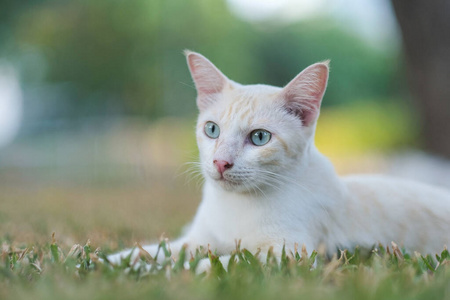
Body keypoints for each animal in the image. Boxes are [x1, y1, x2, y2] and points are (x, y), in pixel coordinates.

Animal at [106, 51, 450, 270]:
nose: (220, 163)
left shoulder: (289, 252)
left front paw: (173, 271)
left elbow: (224, 262)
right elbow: (158, 251)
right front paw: (113, 262)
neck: (235, 206)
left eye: (259, 138)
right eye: (212, 130)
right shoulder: (199, 239)